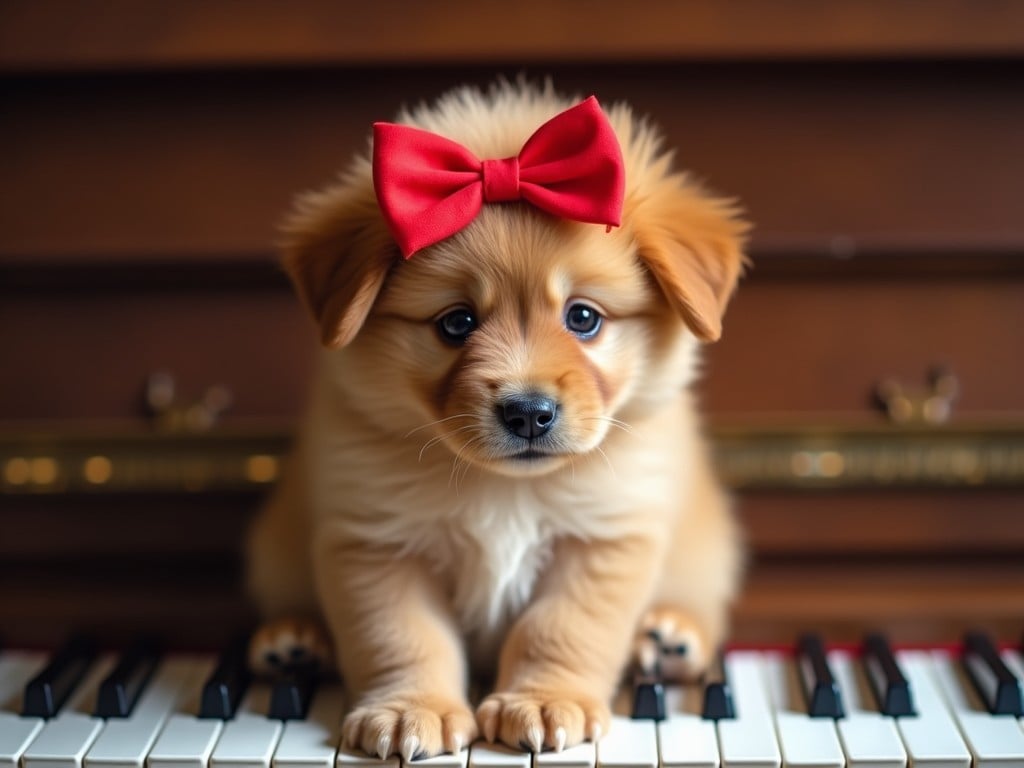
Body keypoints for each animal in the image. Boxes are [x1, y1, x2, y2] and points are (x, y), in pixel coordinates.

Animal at [244, 82, 749, 757]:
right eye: (457, 322)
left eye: (583, 317)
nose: (529, 413)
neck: (504, 490)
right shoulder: (376, 541)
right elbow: (403, 635)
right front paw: (411, 709)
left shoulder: (604, 537)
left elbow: (561, 626)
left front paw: (544, 700)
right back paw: (293, 640)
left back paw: (667, 638)